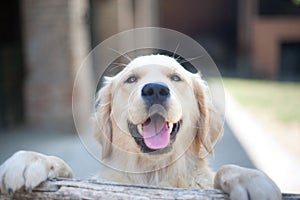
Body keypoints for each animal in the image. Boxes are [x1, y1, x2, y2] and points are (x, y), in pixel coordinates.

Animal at [0, 54, 282, 199]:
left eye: (176, 78)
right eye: (131, 79)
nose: (155, 90)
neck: (153, 176)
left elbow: (226, 169)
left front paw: (251, 179)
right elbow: (64, 169)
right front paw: (28, 161)